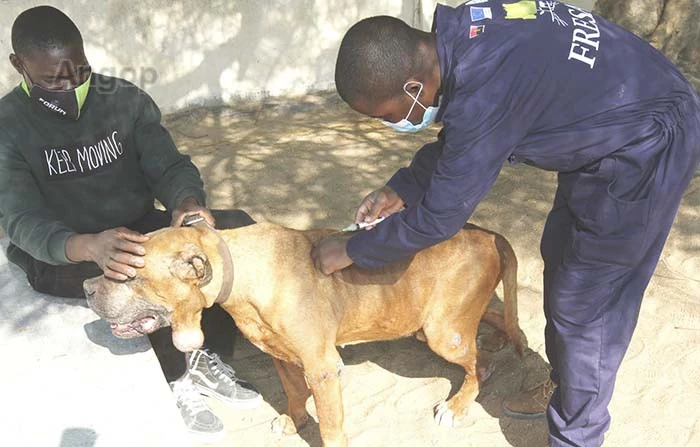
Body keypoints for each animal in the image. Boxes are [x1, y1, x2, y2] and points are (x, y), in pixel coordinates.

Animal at [85, 222, 524, 446]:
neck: (240, 272)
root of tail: (487, 233)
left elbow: (330, 426)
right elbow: (294, 392)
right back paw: (504, 338)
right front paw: (295, 421)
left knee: (481, 366)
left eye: (129, 274)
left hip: (441, 332)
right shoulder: (280, 355)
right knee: (498, 320)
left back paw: (459, 403)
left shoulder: (323, 368)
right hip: (431, 324)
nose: (87, 288)